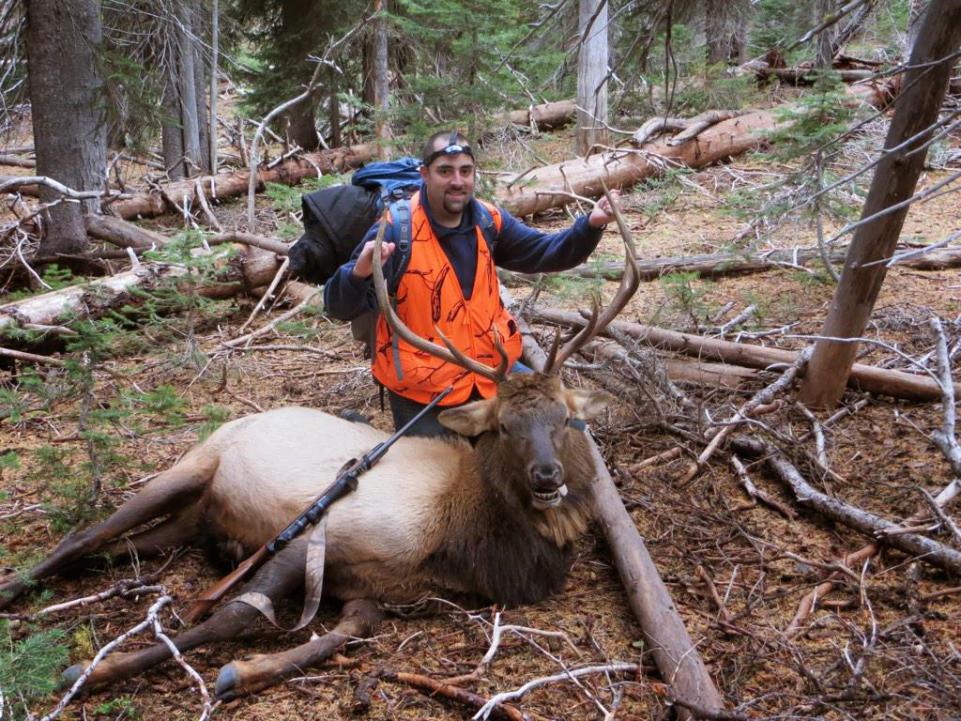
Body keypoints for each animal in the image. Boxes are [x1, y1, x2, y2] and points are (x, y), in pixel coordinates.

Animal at [0, 196, 639, 700]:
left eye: (566, 419)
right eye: (502, 426)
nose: (547, 477)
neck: (464, 543)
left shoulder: (373, 590)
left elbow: (340, 633)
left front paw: (246, 672)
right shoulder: (318, 533)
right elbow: (234, 612)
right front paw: (92, 671)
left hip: (196, 517)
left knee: (118, 548)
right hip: (194, 463)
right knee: (85, 536)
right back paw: (14, 589)